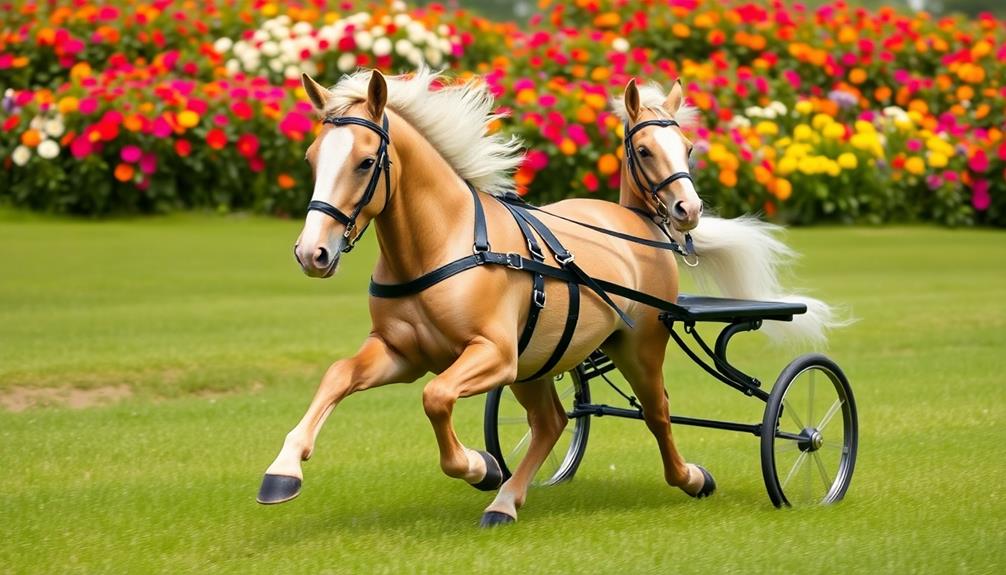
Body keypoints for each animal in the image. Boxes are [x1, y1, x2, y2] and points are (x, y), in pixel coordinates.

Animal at [257, 68, 838, 527]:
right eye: (311, 158)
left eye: (363, 163)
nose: (312, 252)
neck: (443, 245)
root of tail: (642, 222)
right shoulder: (402, 353)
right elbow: (339, 377)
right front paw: (282, 471)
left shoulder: (494, 355)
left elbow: (436, 398)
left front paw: (477, 466)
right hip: (540, 361)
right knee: (555, 421)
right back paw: (506, 501)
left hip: (637, 346)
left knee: (658, 413)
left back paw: (695, 476)